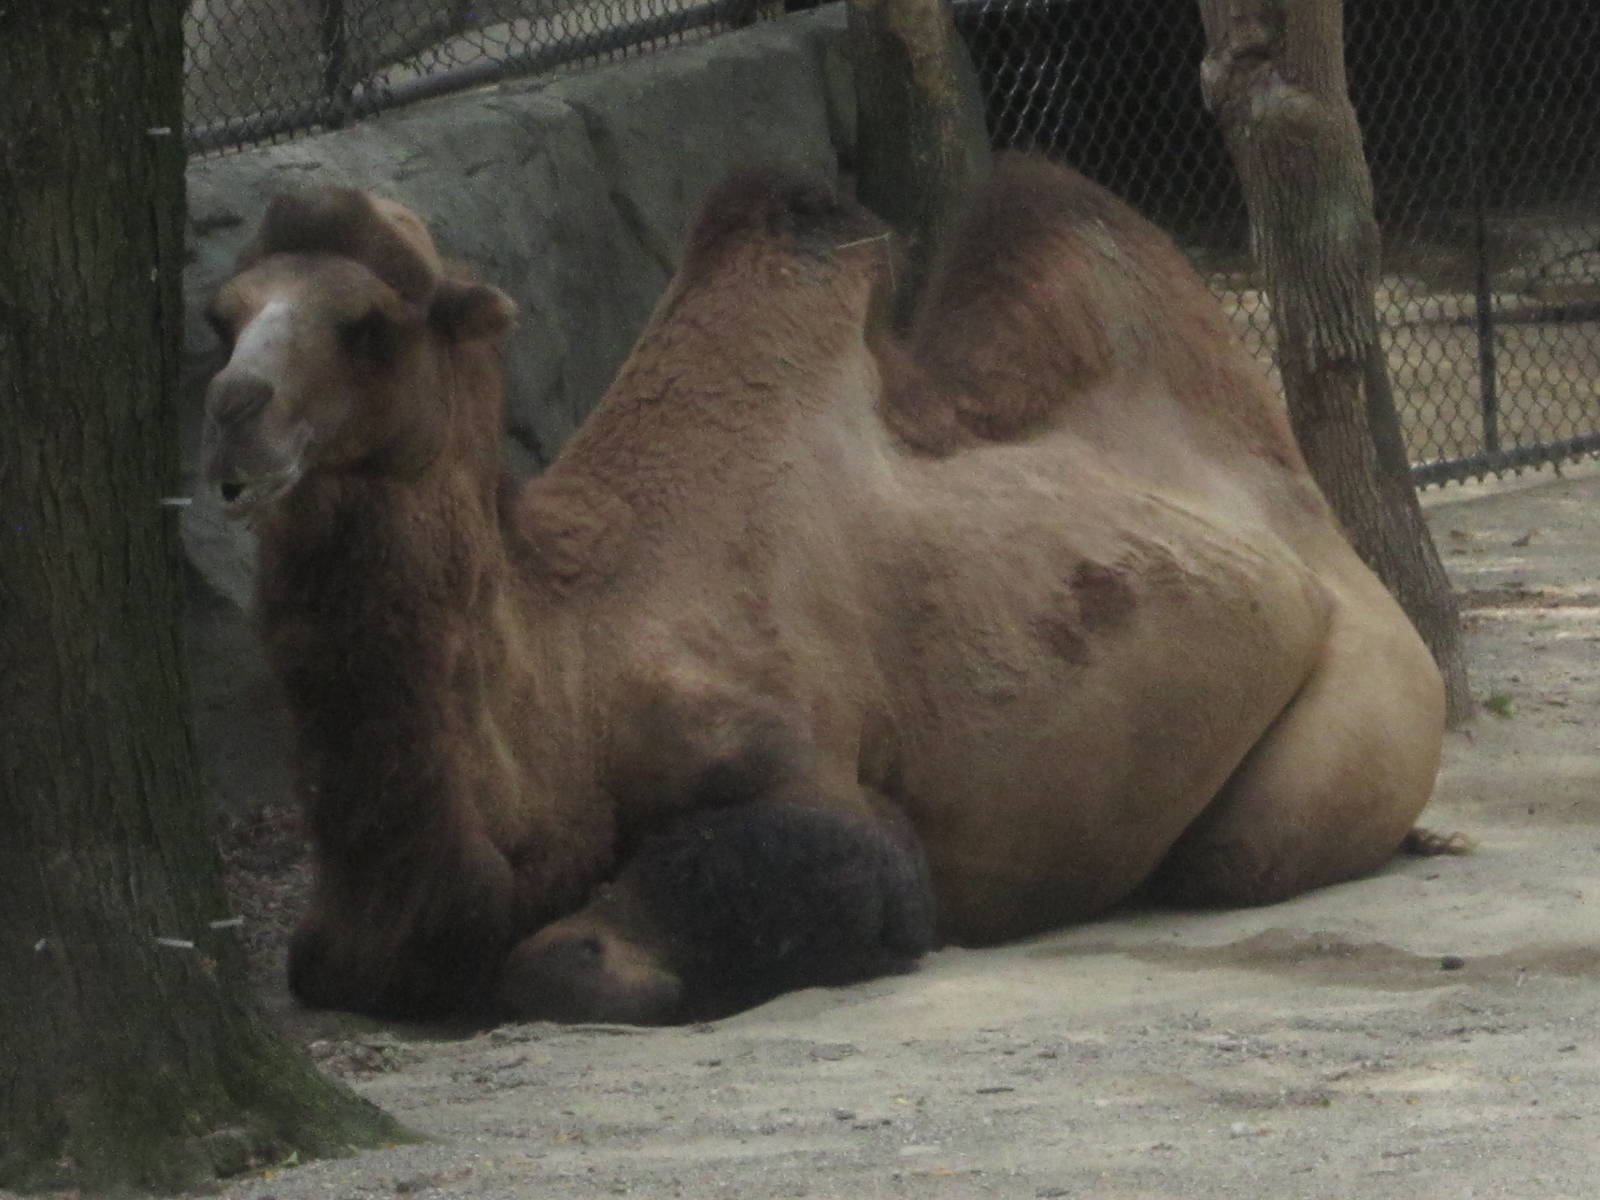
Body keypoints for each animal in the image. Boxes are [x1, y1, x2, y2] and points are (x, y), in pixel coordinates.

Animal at [199, 155, 1446, 1025]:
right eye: (222, 317)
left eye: (370, 326)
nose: (232, 411)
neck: (570, 661)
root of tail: (1313, 524)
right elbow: (333, 964)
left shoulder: (807, 764)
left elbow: (581, 958)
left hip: (1375, 695)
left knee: (1237, 852)